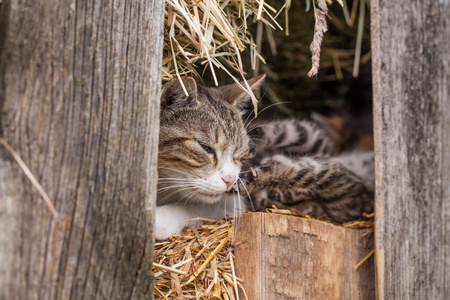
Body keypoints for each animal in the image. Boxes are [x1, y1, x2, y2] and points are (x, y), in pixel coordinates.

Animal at [156, 75, 266, 241]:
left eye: (239, 153)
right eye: (205, 147)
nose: (230, 179)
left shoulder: (234, 203)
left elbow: (199, 207)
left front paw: (160, 218)